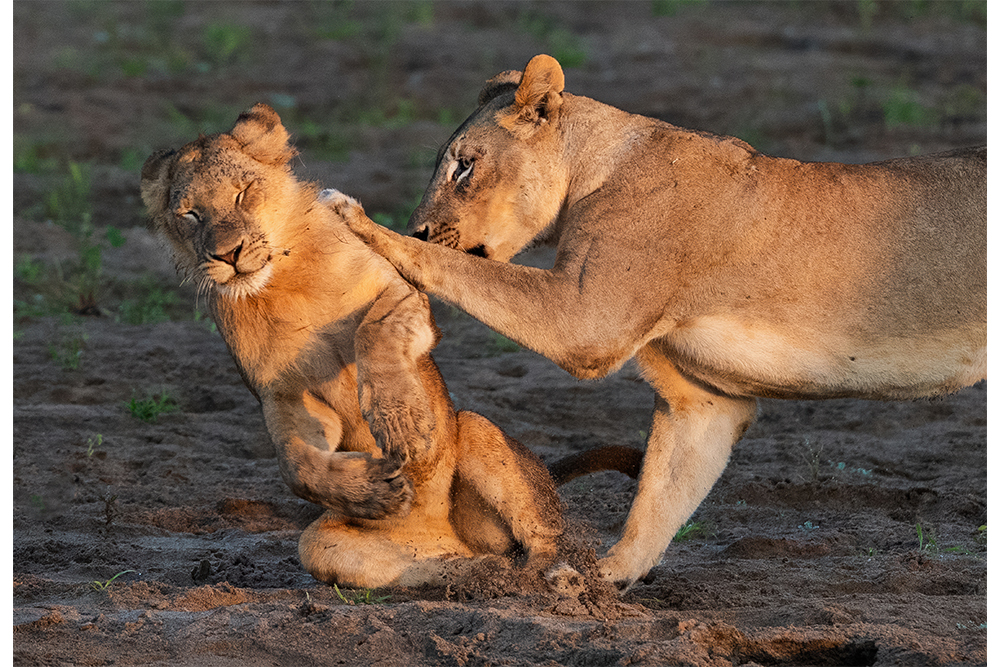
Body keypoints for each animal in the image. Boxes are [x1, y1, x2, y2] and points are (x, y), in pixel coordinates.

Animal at [140, 103, 640, 589]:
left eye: (243, 193)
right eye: (190, 214)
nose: (228, 255)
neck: (280, 284)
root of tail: (438, 532)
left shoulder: (402, 294)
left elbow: (372, 333)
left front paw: (404, 425)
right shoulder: (281, 394)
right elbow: (295, 464)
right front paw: (376, 490)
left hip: (475, 431)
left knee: (542, 538)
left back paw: (559, 576)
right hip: (326, 544)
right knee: (434, 562)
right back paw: (479, 575)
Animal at [345, 54, 987, 590]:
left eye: (464, 166)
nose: (422, 226)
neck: (596, 166)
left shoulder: (586, 320)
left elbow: (461, 268)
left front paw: (362, 223)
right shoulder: (703, 399)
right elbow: (658, 497)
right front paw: (601, 580)